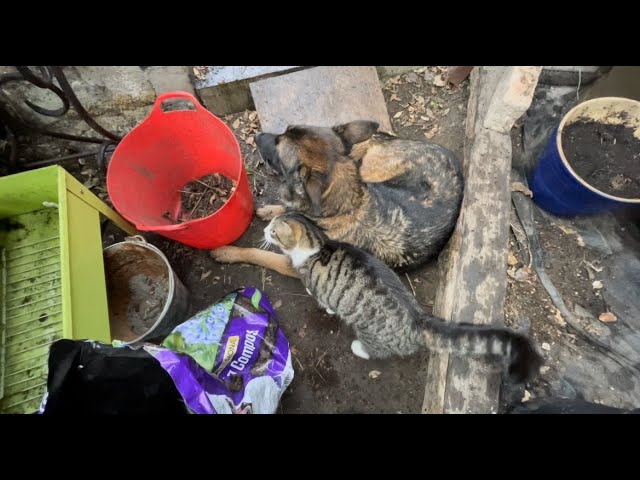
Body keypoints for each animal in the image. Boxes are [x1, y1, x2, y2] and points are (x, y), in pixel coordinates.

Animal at [212, 120, 462, 278]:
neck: (348, 207)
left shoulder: (292, 263)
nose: (256, 135)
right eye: (285, 130)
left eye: (278, 147)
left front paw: (227, 252)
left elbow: (259, 254)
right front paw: (272, 210)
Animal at [262, 213, 544, 382]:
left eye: (273, 232)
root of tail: (418, 320)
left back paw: (359, 348)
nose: (263, 229)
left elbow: (323, 298)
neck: (317, 244)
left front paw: (328, 308)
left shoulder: (318, 287)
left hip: (371, 333)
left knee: (377, 351)